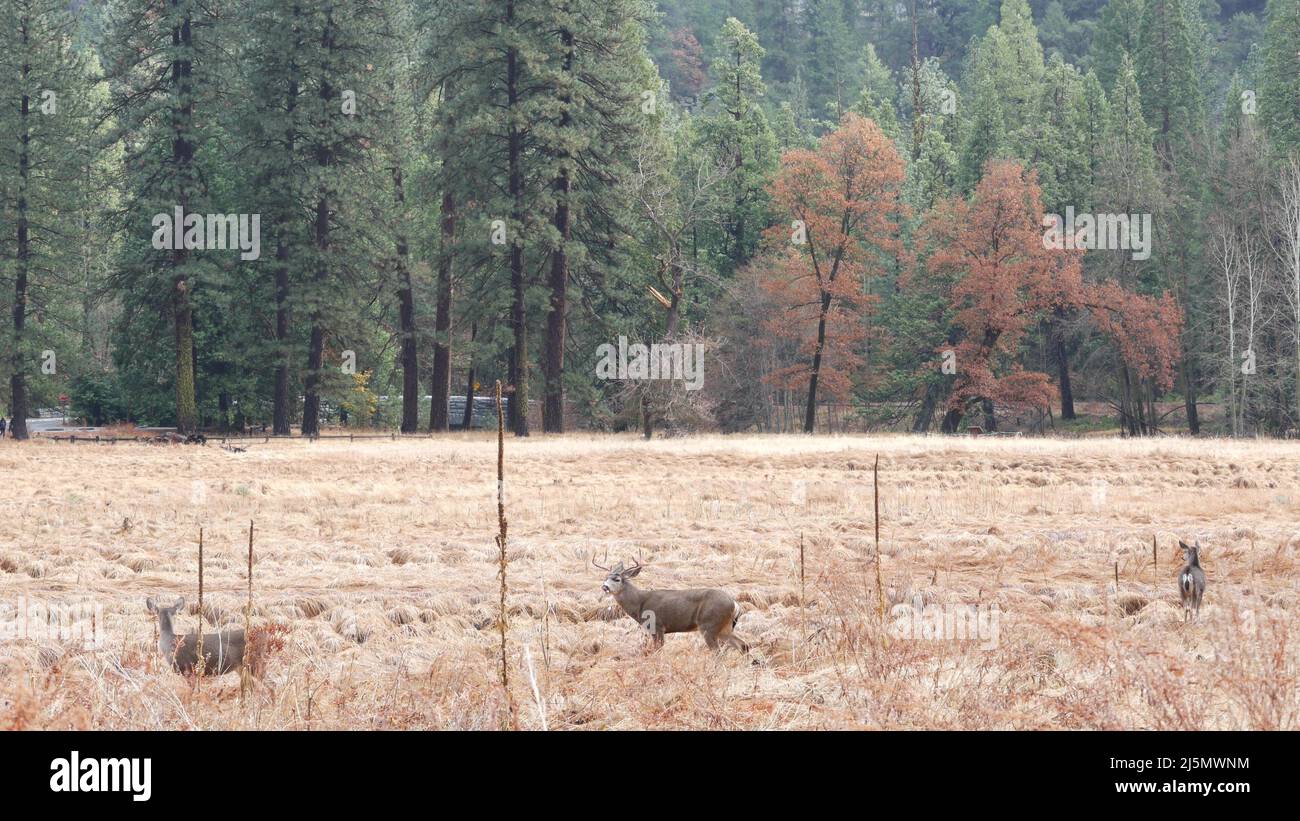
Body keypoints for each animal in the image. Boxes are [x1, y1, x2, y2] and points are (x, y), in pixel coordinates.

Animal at [595, 555, 748, 652]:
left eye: (617, 579)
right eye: (606, 577)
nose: (604, 587)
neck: (640, 603)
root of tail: (735, 604)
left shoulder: (657, 626)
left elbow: (658, 650)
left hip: (709, 624)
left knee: (718, 652)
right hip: (724, 627)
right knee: (743, 645)